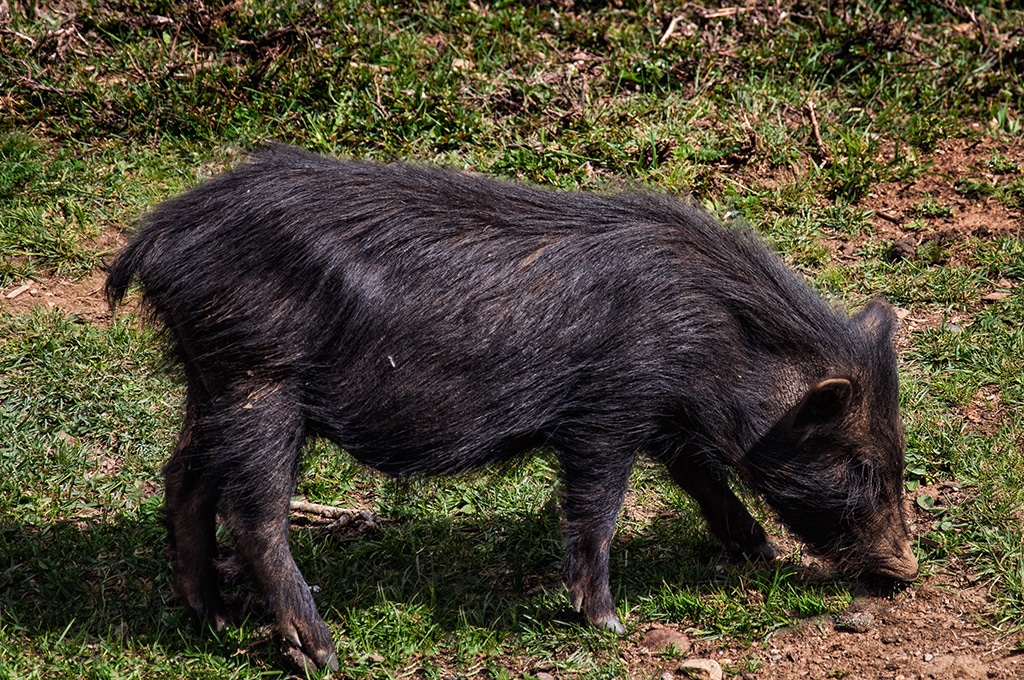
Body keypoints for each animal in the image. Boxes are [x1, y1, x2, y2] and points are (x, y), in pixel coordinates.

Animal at [105, 146, 921, 671]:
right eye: (862, 463)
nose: (908, 571)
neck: (715, 339)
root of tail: (157, 235)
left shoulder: (664, 420)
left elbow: (706, 482)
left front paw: (759, 553)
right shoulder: (606, 414)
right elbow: (596, 510)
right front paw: (608, 623)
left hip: (210, 380)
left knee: (181, 479)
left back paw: (212, 618)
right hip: (259, 382)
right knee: (253, 514)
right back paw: (321, 653)